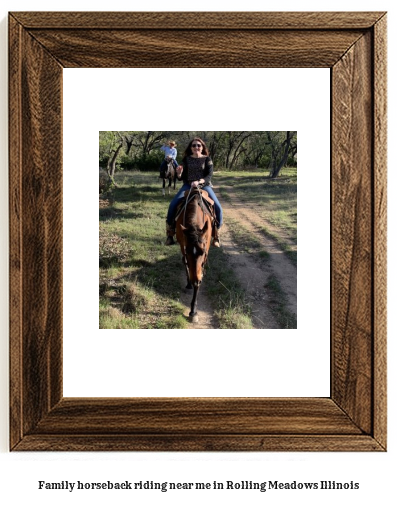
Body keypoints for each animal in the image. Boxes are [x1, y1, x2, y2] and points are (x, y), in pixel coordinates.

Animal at [176, 189, 213, 324]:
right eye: (188, 252)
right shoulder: (183, 246)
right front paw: (189, 283)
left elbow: (198, 279)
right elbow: (186, 263)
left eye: (202, 252)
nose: (195, 279)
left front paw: (193, 311)